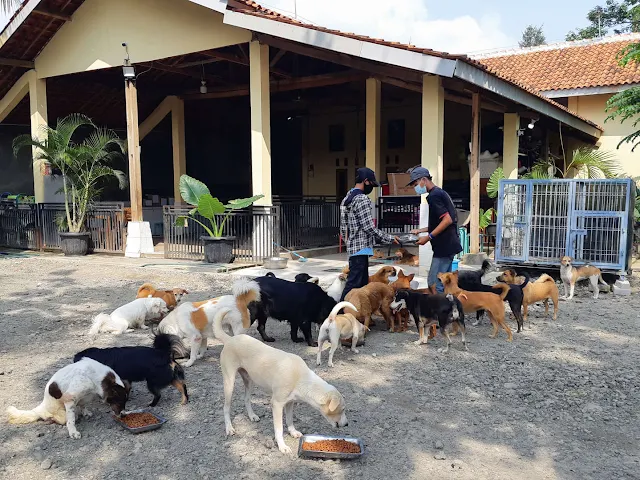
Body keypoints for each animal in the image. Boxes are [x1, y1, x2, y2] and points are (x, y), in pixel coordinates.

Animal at [212, 308, 348, 454]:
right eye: (342, 409)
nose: (347, 424)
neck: (300, 378)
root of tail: (230, 339)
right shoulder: (277, 405)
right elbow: (279, 429)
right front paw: (282, 446)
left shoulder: (290, 403)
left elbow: (289, 420)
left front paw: (293, 432)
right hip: (229, 383)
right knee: (226, 407)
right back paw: (229, 428)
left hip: (249, 380)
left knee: (247, 399)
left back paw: (252, 416)